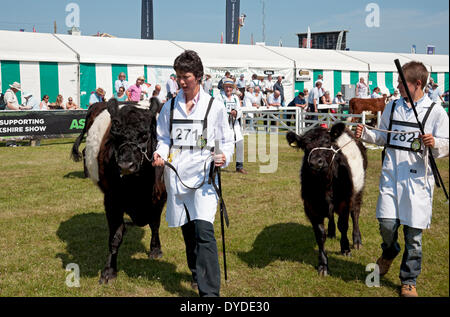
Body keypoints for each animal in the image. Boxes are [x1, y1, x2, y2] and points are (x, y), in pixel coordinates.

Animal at [71, 97, 166, 282]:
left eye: (145, 135)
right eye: (115, 135)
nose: (125, 165)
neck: (139, 187)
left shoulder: (160, 196)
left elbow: (155, 224)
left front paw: (155, 249)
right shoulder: (111, 200)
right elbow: (115, 236)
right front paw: (109, 270)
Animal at [286, 122, 368, 276]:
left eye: (327, 142)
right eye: (305, 146)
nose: (315, 163)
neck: (324, 184)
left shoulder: (344, 202)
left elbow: (343, 225)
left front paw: (345, 248)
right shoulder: (311, 207)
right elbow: (320, 235)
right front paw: (323, 264)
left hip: (358, 189)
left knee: (355, 213)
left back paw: (357, 240)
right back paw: (331, 232)